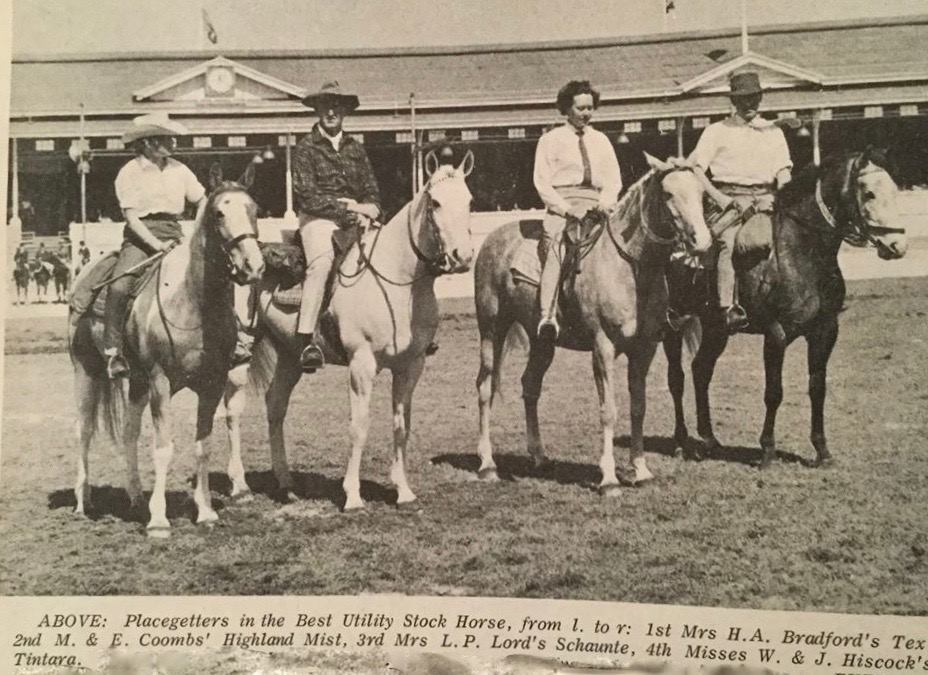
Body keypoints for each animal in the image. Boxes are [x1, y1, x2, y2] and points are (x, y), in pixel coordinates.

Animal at [70, 166, 260, 536]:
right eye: (219, 213)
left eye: (254, 210)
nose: (252, 266)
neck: (192, 303)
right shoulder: (161, 383)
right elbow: (163, 448)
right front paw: (159, 520)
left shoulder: (212, 384)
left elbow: (202, 447)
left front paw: (205, 511)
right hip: (87, 372)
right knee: (83, 430)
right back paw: (83, 502)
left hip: (136, 382)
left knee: (129, 433)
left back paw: (134, 498)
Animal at [227, 153, 478, 510]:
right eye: (436, 202)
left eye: (469, 201)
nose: (462, 258)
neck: (396, 280)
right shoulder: (362, 365)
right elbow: (359, 427)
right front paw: (353, 495)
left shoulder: (411, 366)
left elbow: (401, 426)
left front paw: (403, 491)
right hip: (240, 350)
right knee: (232, 410)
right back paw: (238, 485)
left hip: (290, 355)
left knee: (275, 406)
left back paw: (286, 484)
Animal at [474, 154, 716, 492]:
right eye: (668, 194)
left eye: (702, 194)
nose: (702, 242)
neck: (630, 267)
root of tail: (491, 240)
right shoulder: (603, 347)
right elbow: (608, 411)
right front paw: (609, 478)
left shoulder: (645, 349)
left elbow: (638, 407)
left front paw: (641, 470)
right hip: (491, 329)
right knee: (484, 387)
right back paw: (487, 464)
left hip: (542, 341)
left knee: (530, 387)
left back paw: (539, 457)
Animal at [664, 151, 908, 470]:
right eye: (869, 193)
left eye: (894, 190)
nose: (898, 245)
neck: (802, 252)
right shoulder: (776, 334)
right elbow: (774, 393)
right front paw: (767, 451)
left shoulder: (825, 332)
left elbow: (818, 389)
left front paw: (822, 451)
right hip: (672, 324)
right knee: (676, 379)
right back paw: (681, 443)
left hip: (717, 329)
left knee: (701, 371)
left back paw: (709, 440)